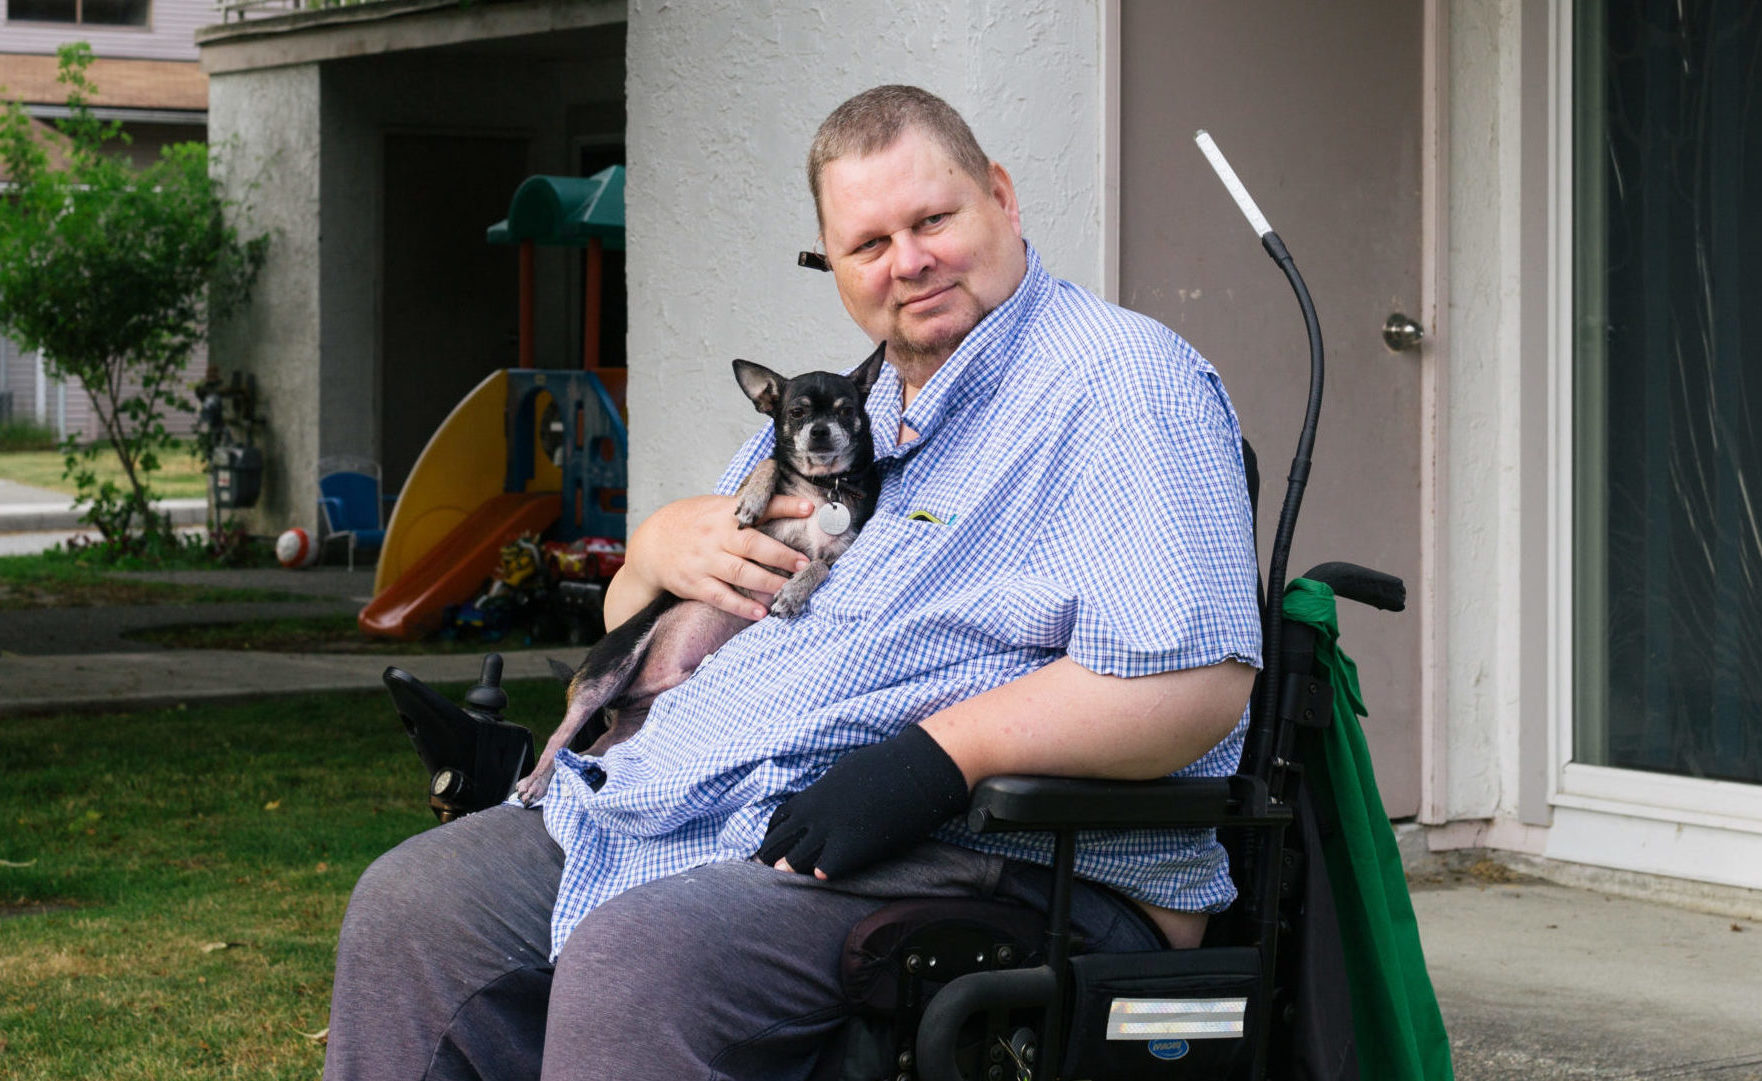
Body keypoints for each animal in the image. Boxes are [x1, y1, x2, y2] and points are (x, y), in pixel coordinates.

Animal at [514, 346, 888, 806]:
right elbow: (766, 464)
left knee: (590, 752)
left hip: (634, 724)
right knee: (559, 737)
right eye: (797, 412)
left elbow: (816, 565)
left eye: (846, 410)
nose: (819, 431)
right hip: (605, 673)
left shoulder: (841, 551)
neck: (820, 486)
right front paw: (753, 498)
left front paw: (793, 592)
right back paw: (538, 779)